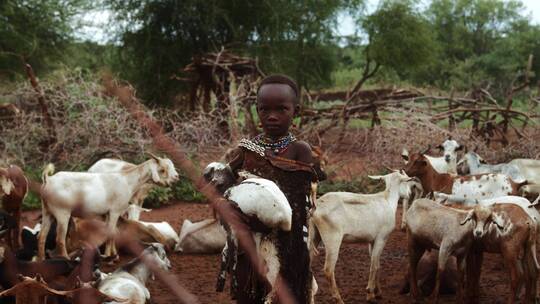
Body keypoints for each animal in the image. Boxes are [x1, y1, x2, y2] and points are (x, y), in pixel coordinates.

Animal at [39, 157, 174, 258]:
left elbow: (112, 232)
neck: (127, 181)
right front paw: (109, 255)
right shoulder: (115, 212)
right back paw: (66, 259)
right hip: (62, 214)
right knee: (60, 239)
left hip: (47, 212)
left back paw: (41, 260)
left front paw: (113, 253)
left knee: (42, 237)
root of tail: (48, 180)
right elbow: (111, 232)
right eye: (162, 170)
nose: (170, 183)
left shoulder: (108, 214)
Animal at [310, 170, 412, 302]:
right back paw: (339, 299)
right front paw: (370, 294)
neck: (387, 200)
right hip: (332, 238)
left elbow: (377, 263)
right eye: (406, 182)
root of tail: (316, 207)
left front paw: (378, 292)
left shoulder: (372, 240)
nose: (409, 194)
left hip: (314, 236)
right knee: (328, 270)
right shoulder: (382, 237)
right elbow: (374, 265)